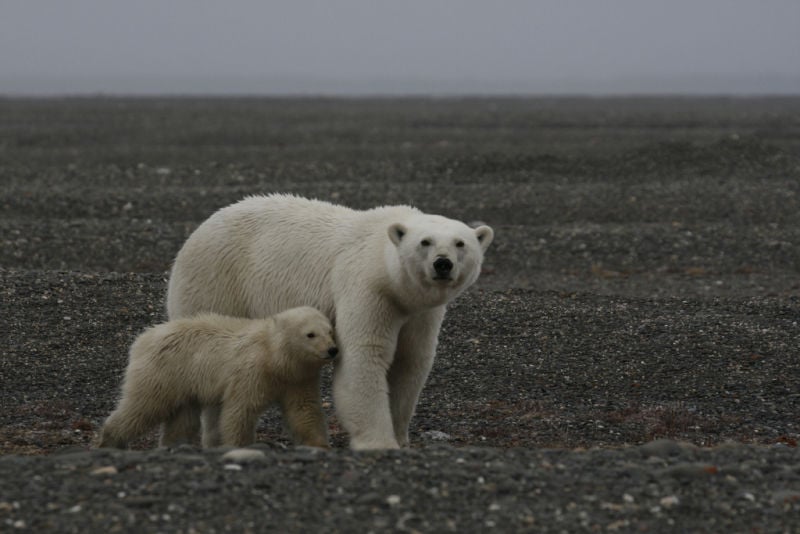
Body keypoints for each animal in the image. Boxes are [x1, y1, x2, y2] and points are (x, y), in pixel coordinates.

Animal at [97, 308, 338, 450]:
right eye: (310, 334)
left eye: (330, 331)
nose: (332, 349)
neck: (274, 357)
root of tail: (142, 339)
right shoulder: (251, 372)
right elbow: (240, 410)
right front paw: (239, 446)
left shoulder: (298, 379)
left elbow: (303, 410)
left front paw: (319, 445)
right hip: (163, 372)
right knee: (144, 405)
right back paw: (110, 440)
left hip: (184, 381)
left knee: (183, 417)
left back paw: (175, 445)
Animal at [167, 195, 494, 450]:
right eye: (425, 242)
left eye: (460, 243)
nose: (443, 263)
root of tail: (202, 226)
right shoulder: (366, 289)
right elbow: (365, 356)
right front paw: (378, 442)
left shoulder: (419, 313)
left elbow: (410, 362)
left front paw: (401, 439)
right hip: (215, 281)